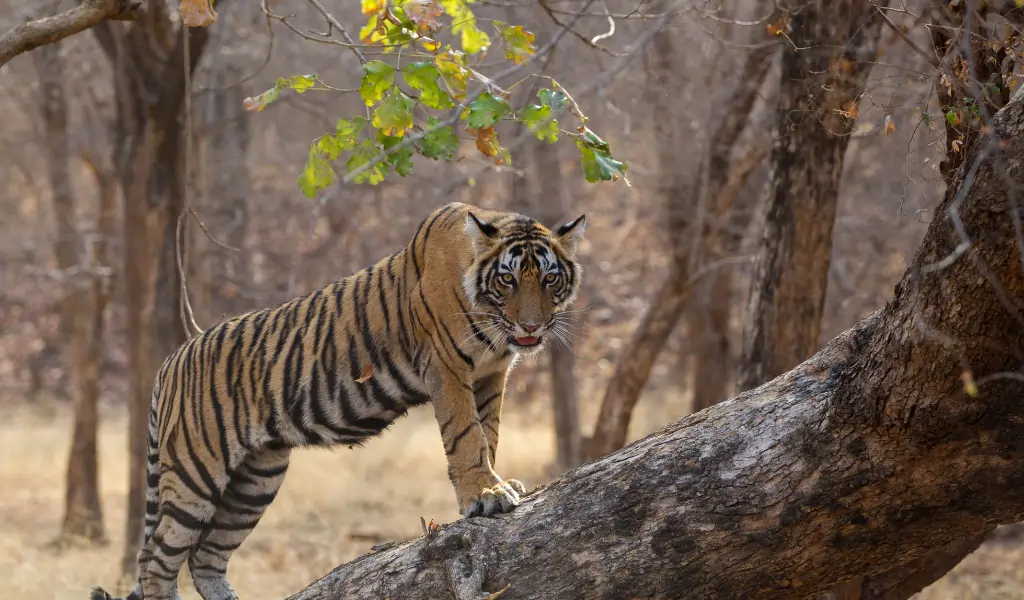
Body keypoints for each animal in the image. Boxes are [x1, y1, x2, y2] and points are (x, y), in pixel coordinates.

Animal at [90, 201, 586, 600]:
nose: (531, 327)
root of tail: (170, 362)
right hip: (196, 472)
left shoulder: (491, 374)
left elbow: (489, 433)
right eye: (507, 280)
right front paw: (484, 495)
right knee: (156, 560)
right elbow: (467, 436)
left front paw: (496, 484)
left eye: (549, 279)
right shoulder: (447, 367)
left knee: (205, 558)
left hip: (254, 481)